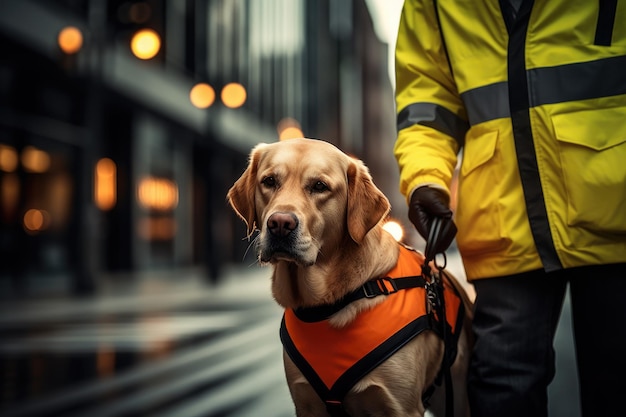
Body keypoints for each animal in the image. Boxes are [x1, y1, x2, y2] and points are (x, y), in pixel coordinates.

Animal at [227, 138, 470, 414]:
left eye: (319, 186)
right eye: (269, 181)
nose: (280, 224)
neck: (328, 304)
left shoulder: (401, 406)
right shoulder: (306, 403)